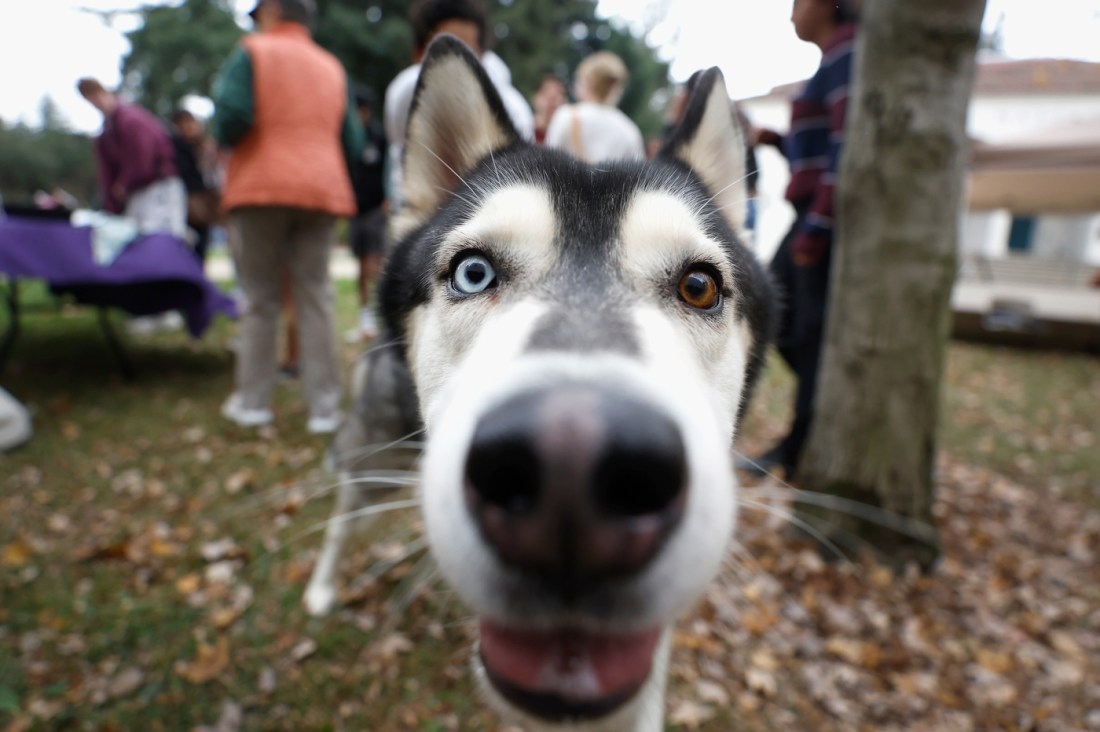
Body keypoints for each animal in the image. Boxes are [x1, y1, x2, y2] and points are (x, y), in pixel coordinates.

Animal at [303, 38, 774, 730]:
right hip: (375, 456)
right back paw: (323, 587)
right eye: (473, 272)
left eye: (698, 286)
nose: (569, 475)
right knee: (343, 516)